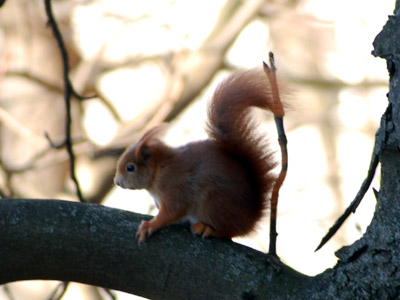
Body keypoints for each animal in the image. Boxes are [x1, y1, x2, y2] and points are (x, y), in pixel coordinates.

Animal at [113, 67, 284, 241]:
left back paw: (208, 228)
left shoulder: (175, 185)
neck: (159, 170)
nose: (117, 182)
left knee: (227, 231)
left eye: (130, 168)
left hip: (214, 202)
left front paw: (150, 225)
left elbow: (174, 211)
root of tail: (250, 220)